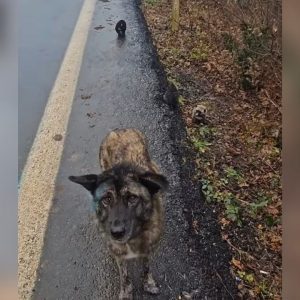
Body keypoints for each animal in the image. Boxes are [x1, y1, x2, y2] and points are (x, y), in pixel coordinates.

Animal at [69, 127, 169, 298]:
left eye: (132, 198)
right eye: (106, 199)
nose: (116, 233)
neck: (133, 239)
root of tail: (121, 129)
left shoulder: (148, 249)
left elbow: (146, 266)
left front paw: (148, 283)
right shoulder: (120, 255)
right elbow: (124, 275)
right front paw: (126, 292)